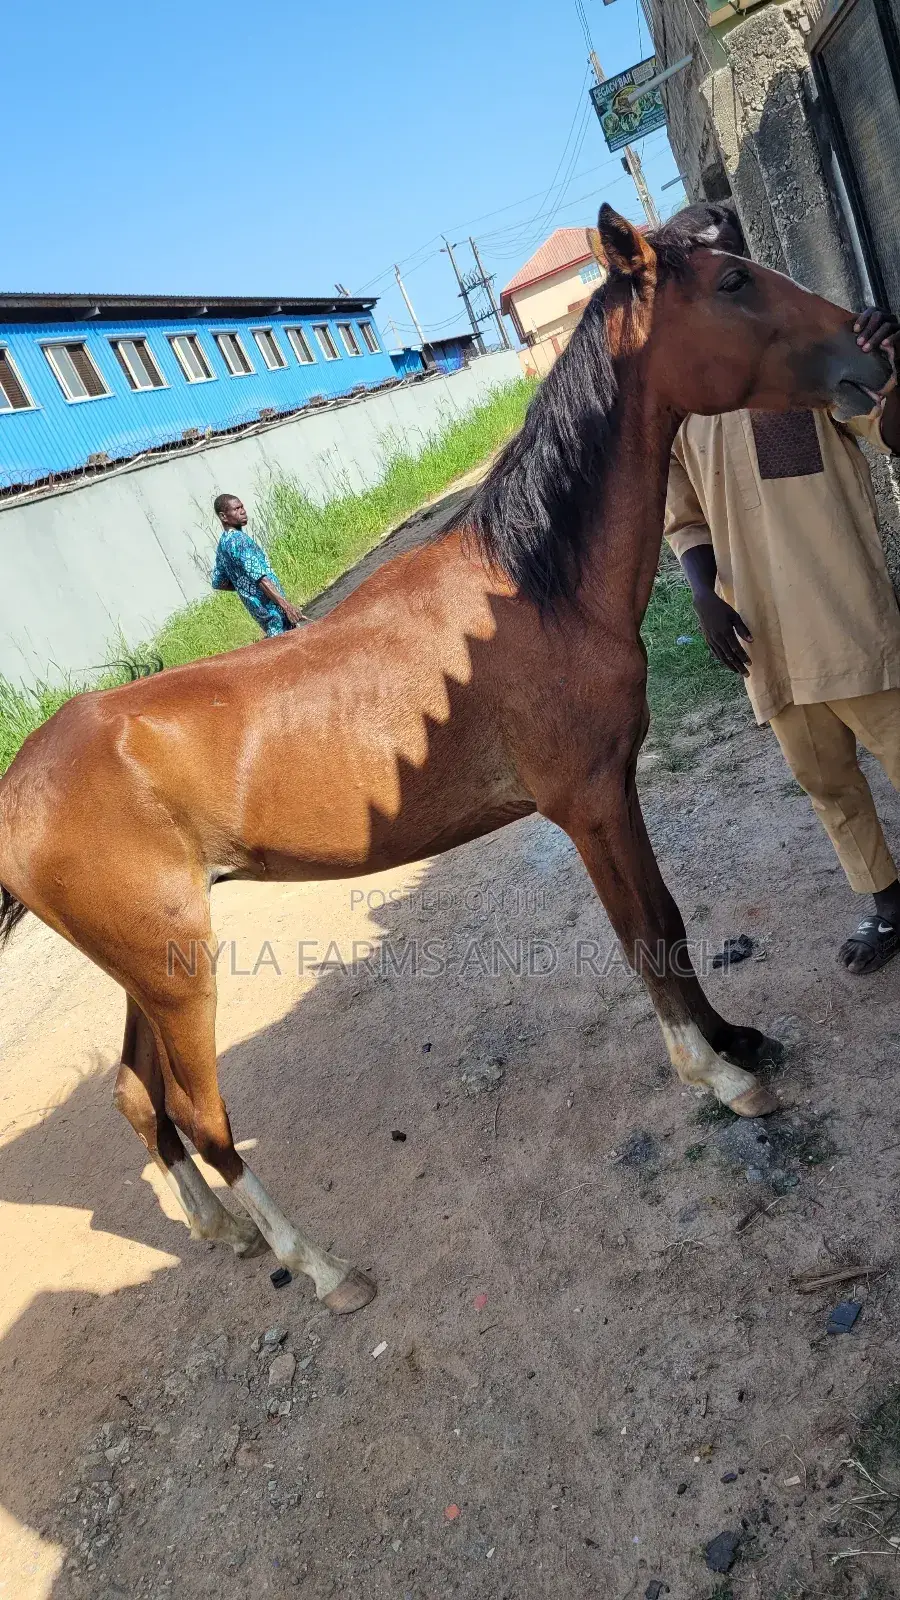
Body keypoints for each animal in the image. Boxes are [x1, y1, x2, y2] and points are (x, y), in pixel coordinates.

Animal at [0, 206, 889, 1314]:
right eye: (731, 282)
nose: (870, 346)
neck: (531, 587)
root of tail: (18, 789)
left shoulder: (617, 789)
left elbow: (674, 924)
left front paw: (734, 1039)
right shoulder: (586, 806)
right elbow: (644, 936)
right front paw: (719, 1076)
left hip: (141, 969)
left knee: (136, 1094)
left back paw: (225, 1232)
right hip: (177, 972)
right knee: (205, 1120)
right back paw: (322, 1266)